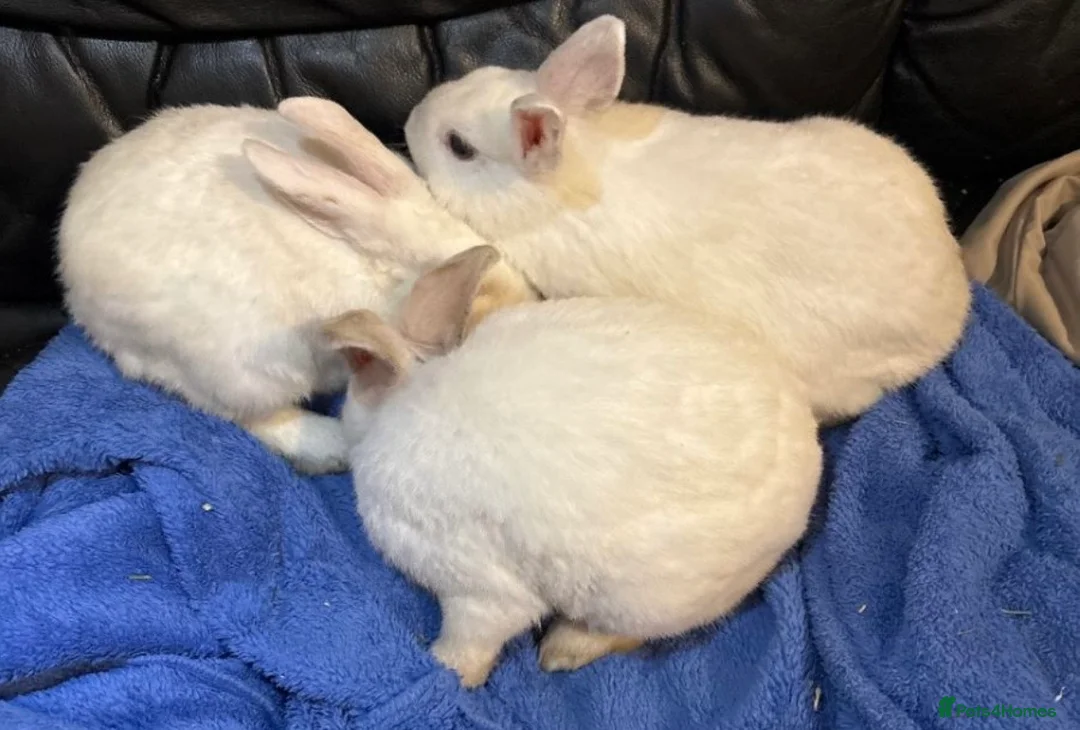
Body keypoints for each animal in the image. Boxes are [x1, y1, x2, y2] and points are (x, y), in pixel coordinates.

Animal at [323, 244, 824, 688]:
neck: (410, 392)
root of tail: (810, 466)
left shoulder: (474, 586)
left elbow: (476, 637)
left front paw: (448, 671)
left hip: (637, 601)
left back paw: (560, 651)